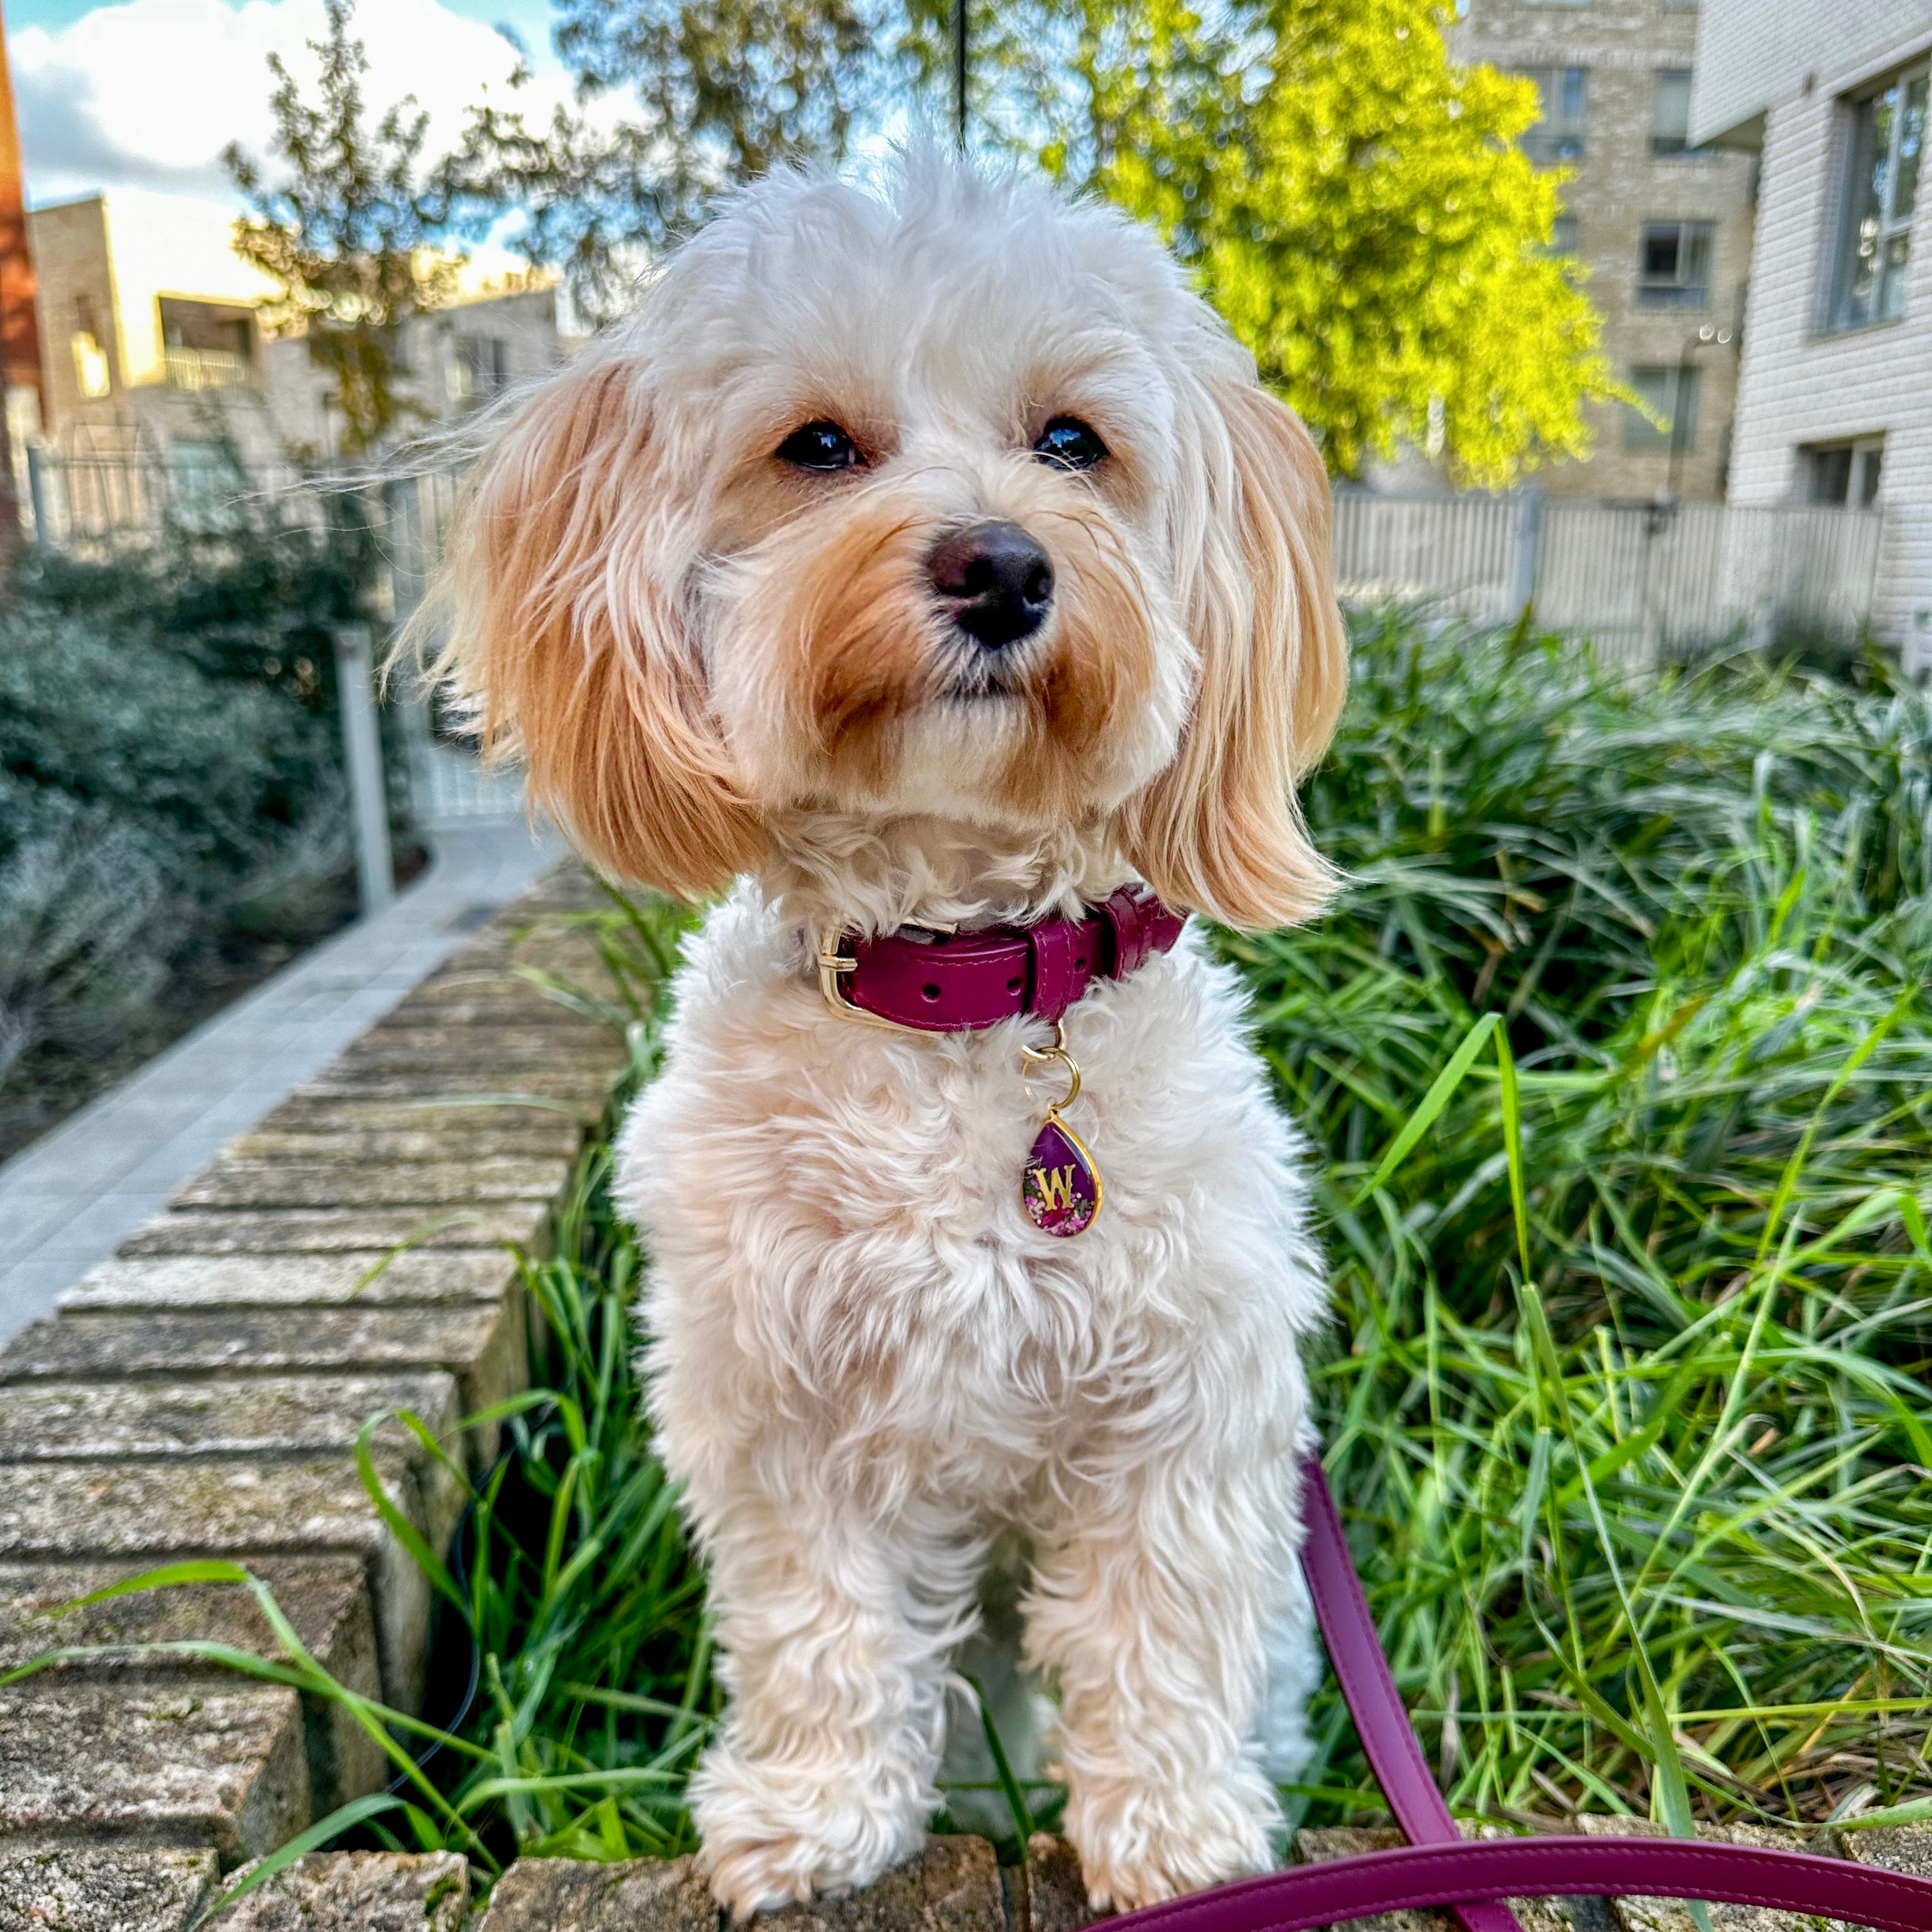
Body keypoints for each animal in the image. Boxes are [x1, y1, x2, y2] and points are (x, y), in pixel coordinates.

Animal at [435, 146, 1345, 1916]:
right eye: (815, 447)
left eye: (1071, 439)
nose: (1000, 564)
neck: (959, 978)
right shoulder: (776, 1404)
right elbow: (820, 1625)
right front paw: (814, 1813)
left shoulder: (1181, 1397)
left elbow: (1155, 1622)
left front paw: (1176, 1827)